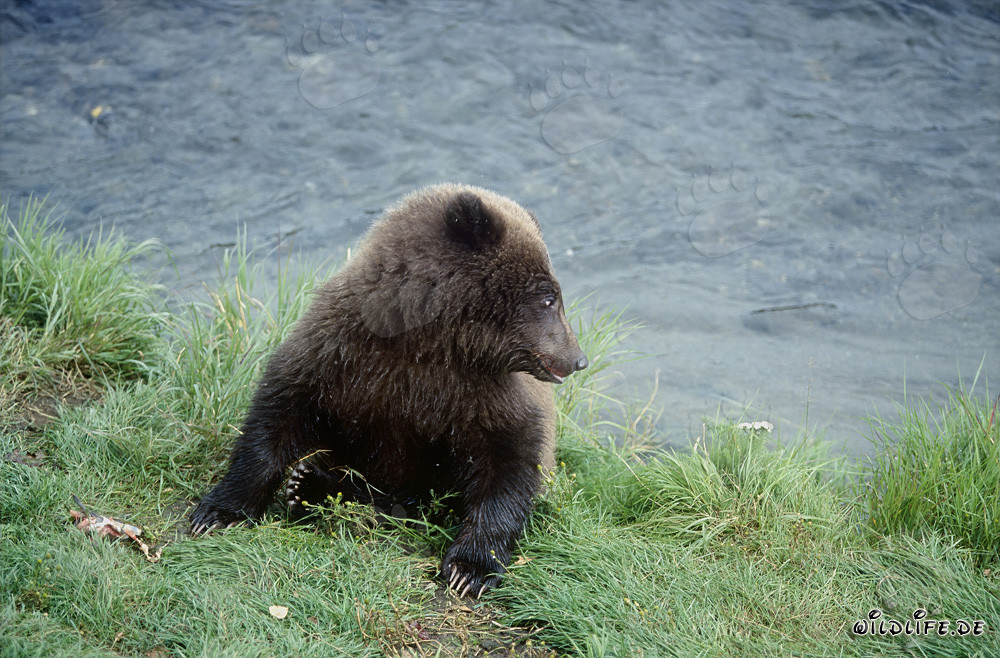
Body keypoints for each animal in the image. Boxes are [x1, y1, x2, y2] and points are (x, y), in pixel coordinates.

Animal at [189, 183, 588, 597]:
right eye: (548, 296)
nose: (579, 359)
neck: (426, 340)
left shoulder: (481, 396)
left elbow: (510, 465)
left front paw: (470, 569)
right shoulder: (339, 356)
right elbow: (277, 416)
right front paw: (218, 512)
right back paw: (308, 486)